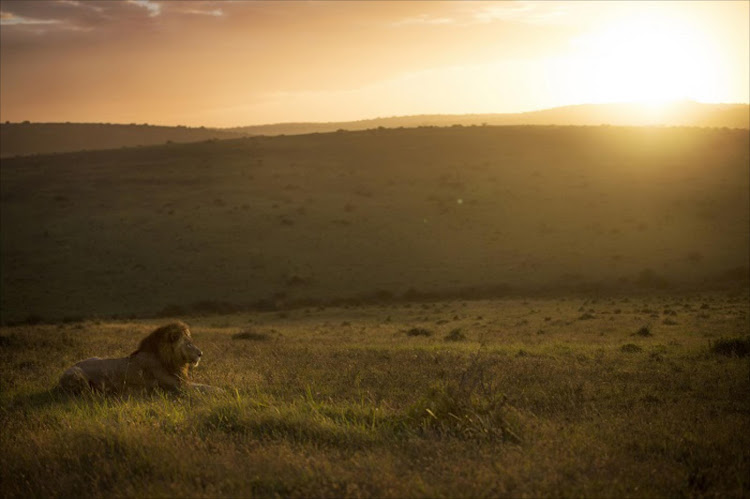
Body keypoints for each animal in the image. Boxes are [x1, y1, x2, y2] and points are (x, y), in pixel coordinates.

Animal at [57, 322, 222, 396]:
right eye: (188, 344)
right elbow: (203, 387)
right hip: (77, 374)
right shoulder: (177, 386)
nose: (201, 353)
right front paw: (221, 390)